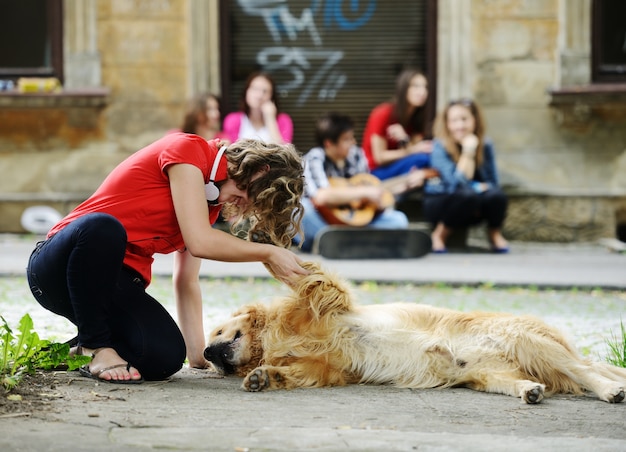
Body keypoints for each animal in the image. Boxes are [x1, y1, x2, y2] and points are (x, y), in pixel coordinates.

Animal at [204, 260, 624, 404]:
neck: (273, 337)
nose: (206, 354)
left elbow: (309, 277)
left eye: (219, 332)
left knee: (587, 372)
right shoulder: (330, 368)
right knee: (533, 381)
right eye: (208, 354)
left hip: (529, 341)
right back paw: (530, 391)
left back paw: (610, 391)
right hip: (488, 375)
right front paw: (264, 377)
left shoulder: (330, 301)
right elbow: (298, 372)